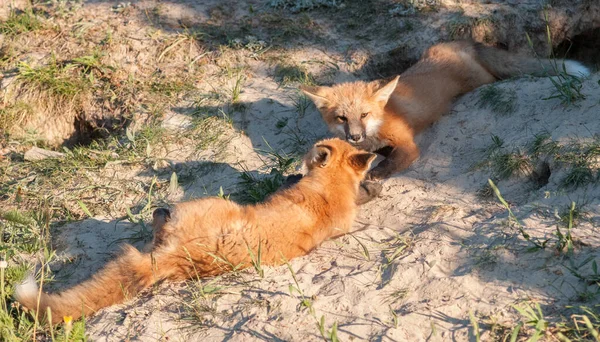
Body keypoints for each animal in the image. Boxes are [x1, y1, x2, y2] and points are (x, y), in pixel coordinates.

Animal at [15, 138, 376, 324]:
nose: (302, 153)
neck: (331, 189)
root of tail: (180, 257)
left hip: (206, 205)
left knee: (158, 219)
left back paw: (158, 212)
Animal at [302, 41, 588, 180]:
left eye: (364, 115)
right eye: (341, 118)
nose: (354, 136)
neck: (378, 127)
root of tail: (459, 43)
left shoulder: (407, 145)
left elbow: (392, 162)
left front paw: (376, 174)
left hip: (479, 80)